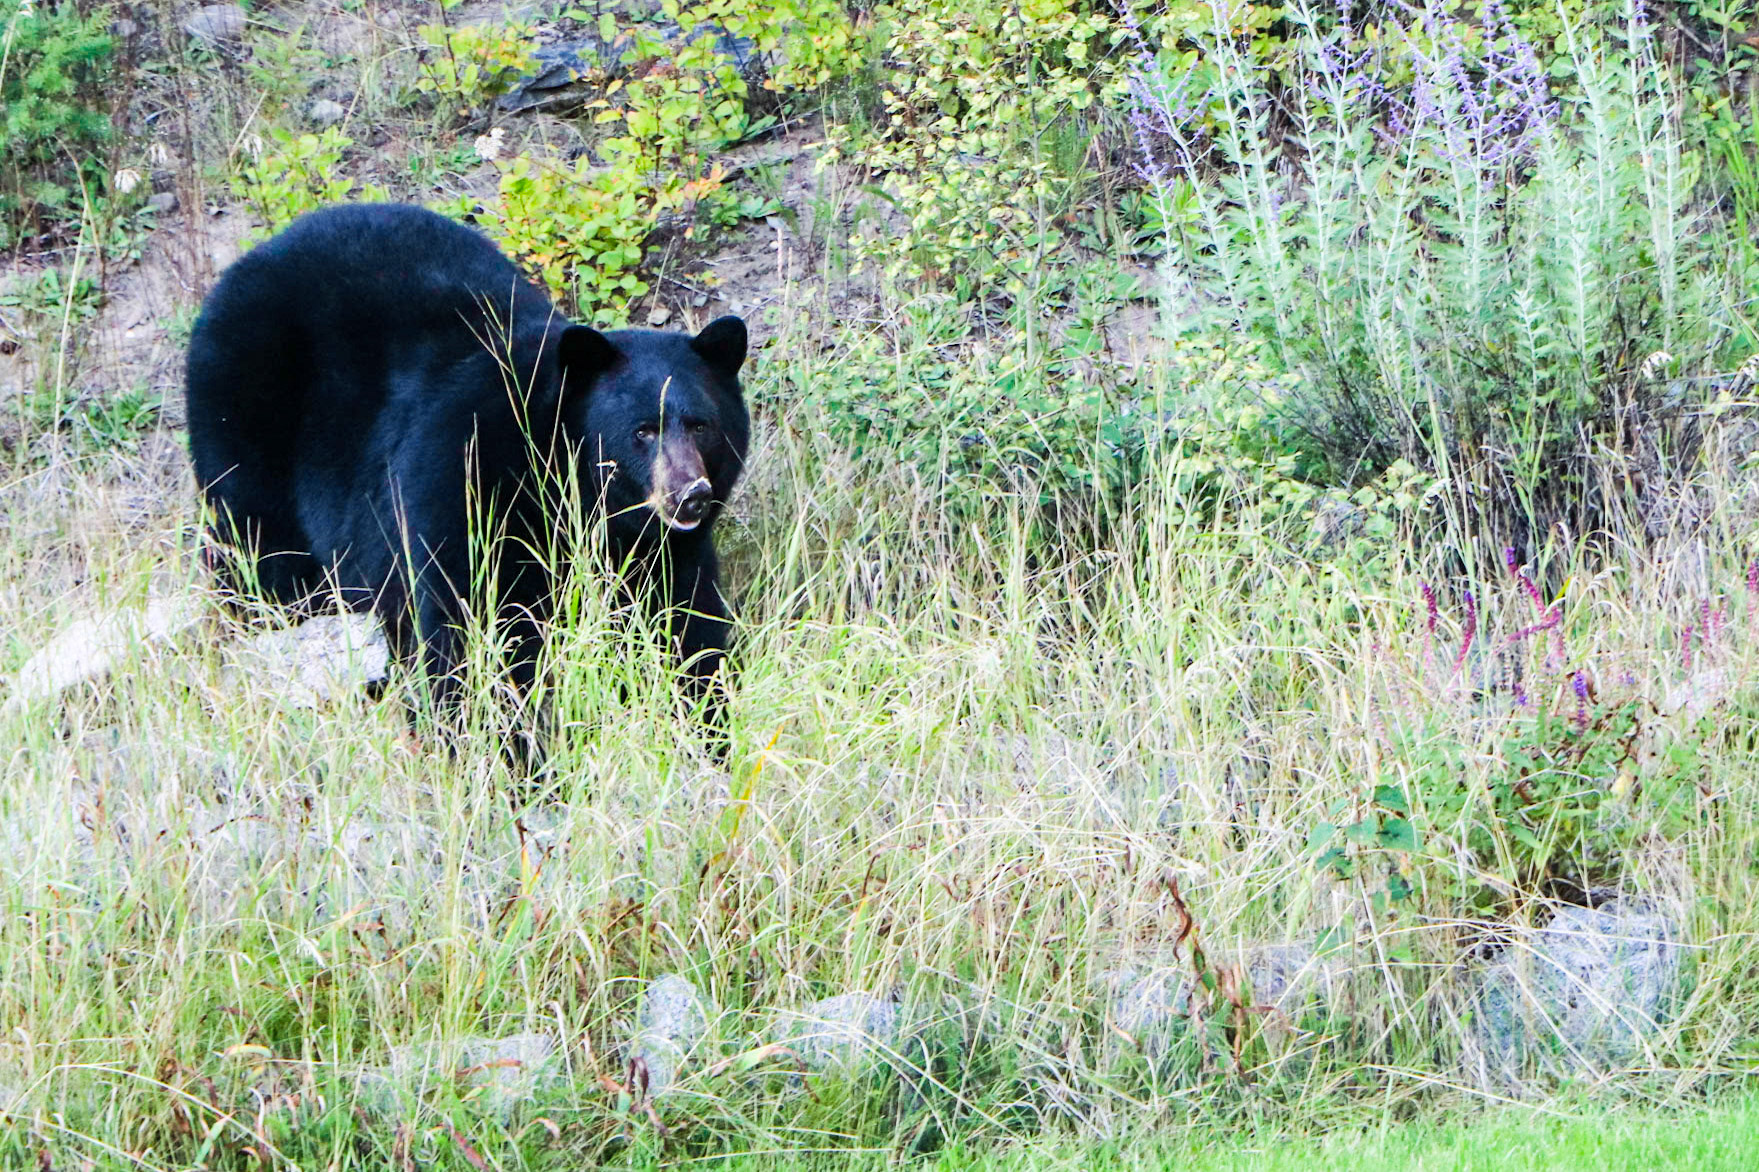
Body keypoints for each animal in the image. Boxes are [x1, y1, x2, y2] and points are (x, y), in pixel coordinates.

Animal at [184, 202, 749, 748]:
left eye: (700, 425)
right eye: (642, 431)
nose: (690, 495)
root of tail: (252, 256)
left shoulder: (661, 551)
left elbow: (684, 627)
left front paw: (709, 730)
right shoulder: (465, 486)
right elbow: (473, 631)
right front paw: (503, 750)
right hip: (247, 415)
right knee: (262, 549)